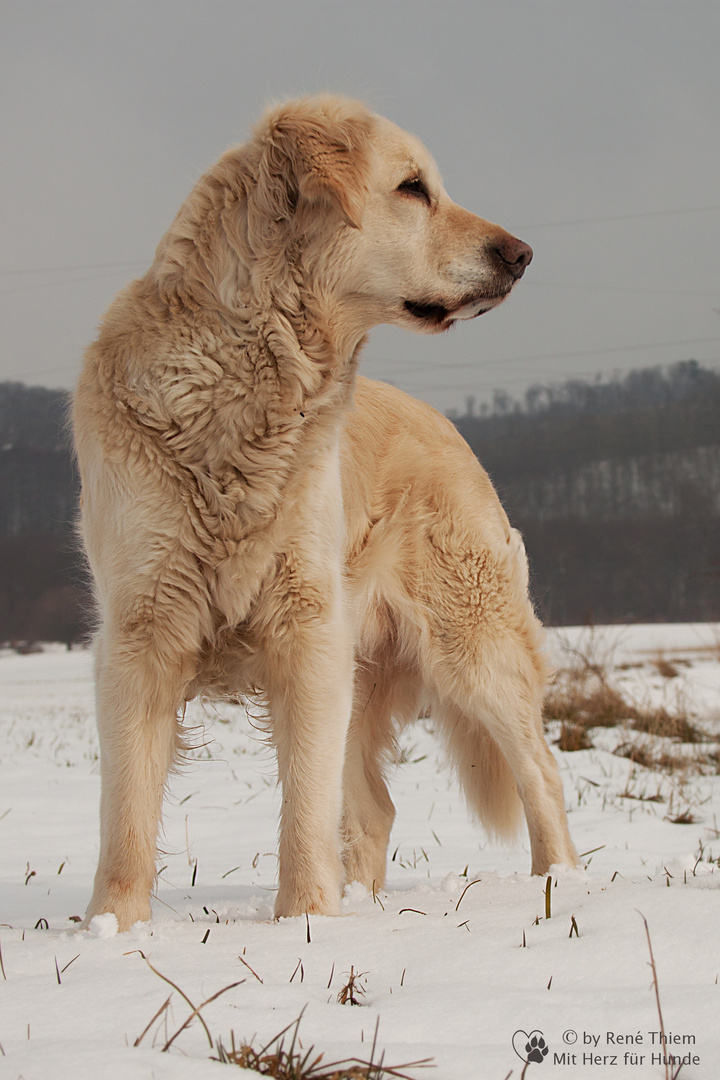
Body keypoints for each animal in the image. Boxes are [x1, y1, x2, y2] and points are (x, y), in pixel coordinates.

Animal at [73, 92, 578, 928]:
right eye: (413, 188)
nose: (523, 253)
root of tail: (450, 429)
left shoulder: (305, 634)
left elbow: (304, 811)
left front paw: (306, 922)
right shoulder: (141, 633)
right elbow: (126, 818)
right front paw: (113, 931)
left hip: (473, 647)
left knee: (539, 771)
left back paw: (557, 888)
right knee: (376, 809)